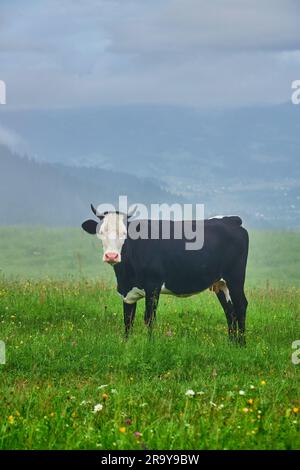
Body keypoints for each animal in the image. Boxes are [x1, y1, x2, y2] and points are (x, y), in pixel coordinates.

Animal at [81, 206, 248, 346]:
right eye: (101, 232)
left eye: (124, 233)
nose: (111, 256)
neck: (126, 276)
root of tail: (232, 220)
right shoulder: (127, 292)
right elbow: (128, 319)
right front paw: (126, 344)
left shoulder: (153, 286)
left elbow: (149, 319)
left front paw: (150, 345)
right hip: (221, 283)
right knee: (229, 310)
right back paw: (231, 344)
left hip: (235, 278)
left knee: (240, 306)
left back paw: (241, 345)